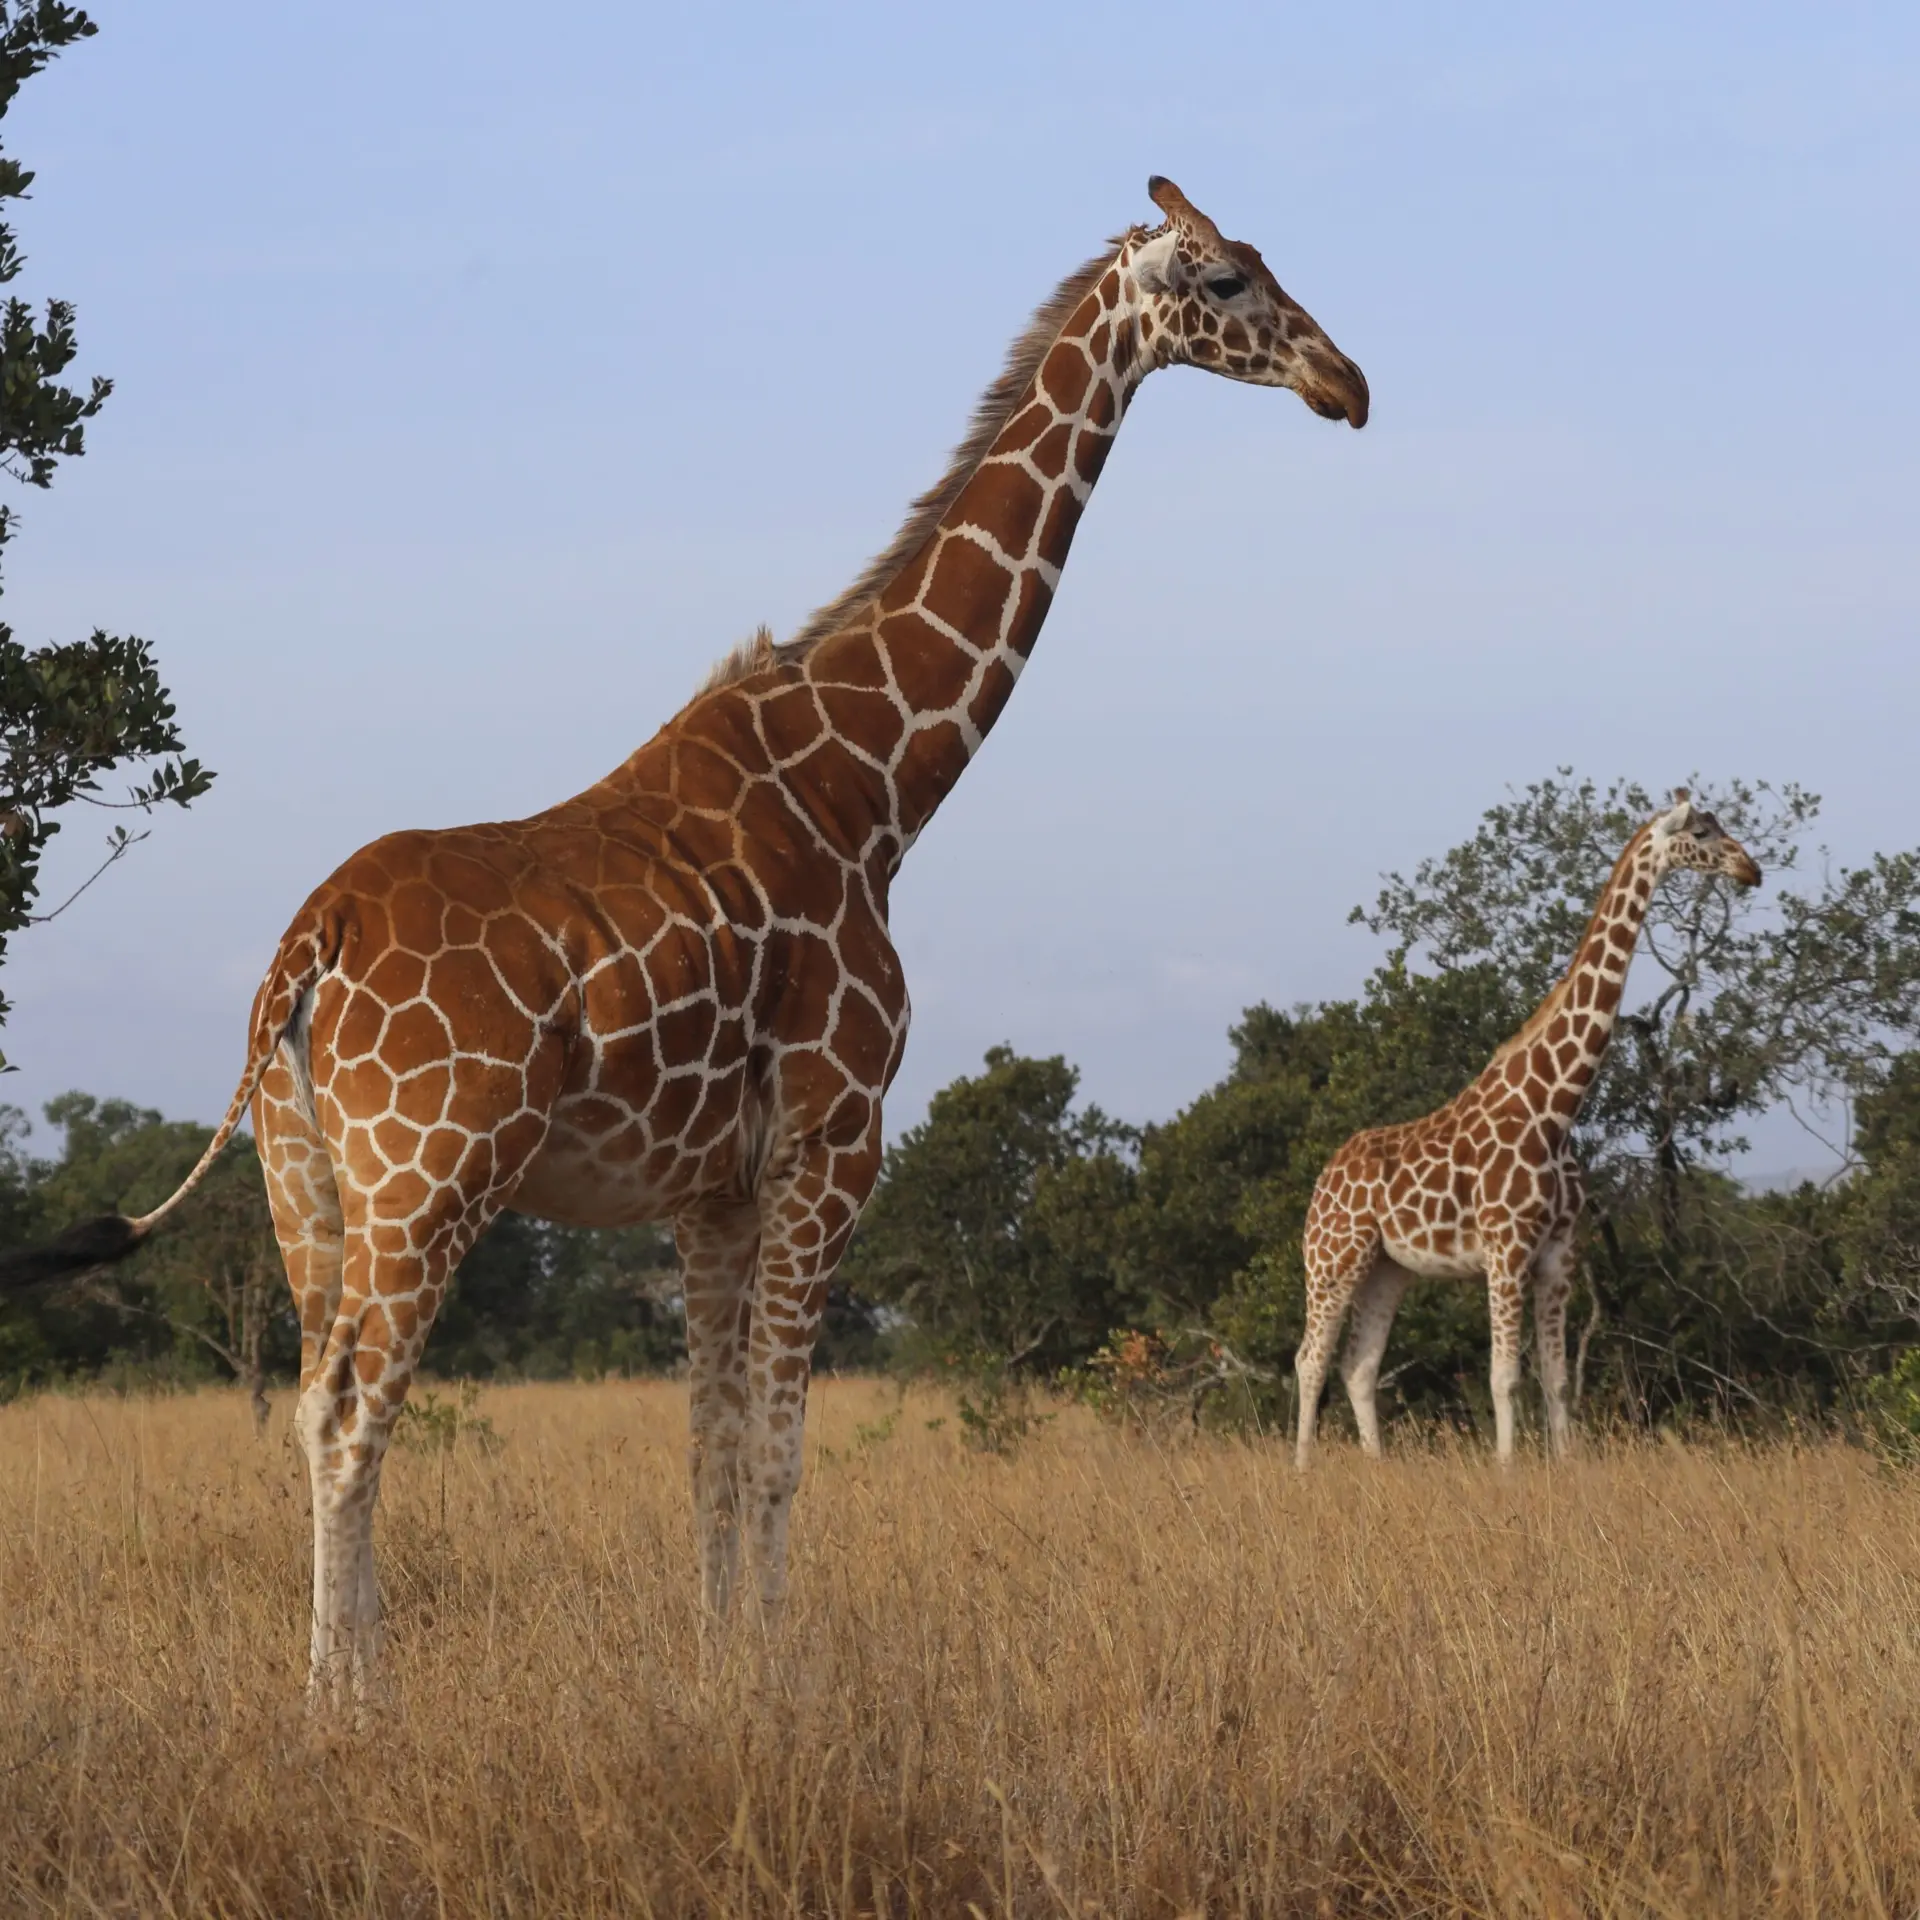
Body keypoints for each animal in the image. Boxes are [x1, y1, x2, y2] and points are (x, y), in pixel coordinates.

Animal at [2, 177, 1367, 1707]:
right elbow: (776, 1449)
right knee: (359, 1419)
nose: (1347, 383)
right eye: (1229, 277)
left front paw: (722, 1672)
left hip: (304, 1182)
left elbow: (708, 1449)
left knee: (308, 1406)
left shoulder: (710, 1188)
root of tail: (312, 944)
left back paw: (332, 1695)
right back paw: (356, 1708)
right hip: (428, 1177)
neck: (875, 789)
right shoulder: (836, 1140)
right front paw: (782, 1688)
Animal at [1293, 793, 1761, 1470]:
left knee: (1358, 1365)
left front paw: (1565, 1468)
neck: (1555, 1106)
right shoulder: (1506, 1249)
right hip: (1333, 1257)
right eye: (1702, 832)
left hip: (1388, 1268)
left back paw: (1376, 1468)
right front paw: (1507, 1470)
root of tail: (1324, 1178)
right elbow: (1504, 1377)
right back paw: (1302, 1468)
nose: (1752, 869)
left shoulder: (1559, 1255)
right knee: (1310, 1359)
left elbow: (1558, 1379)